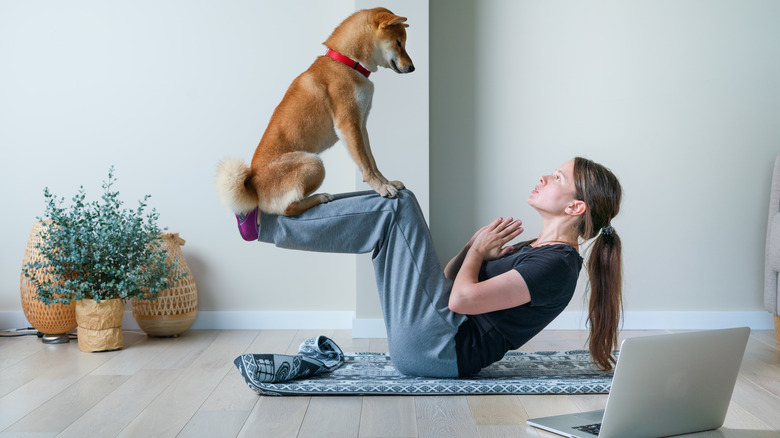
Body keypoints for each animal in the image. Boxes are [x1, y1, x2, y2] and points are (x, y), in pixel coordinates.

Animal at [216, 7, 414, 226]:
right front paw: (381, 188)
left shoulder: (361, 125)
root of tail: (253, 189)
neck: (348, 62)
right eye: (399, 43)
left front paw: (387, 182)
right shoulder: (348, 125)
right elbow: (365, 166)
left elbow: (372, 161)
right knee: (287, 209)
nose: (412, 68)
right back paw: (320, 197)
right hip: (314, 163)